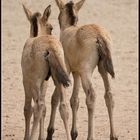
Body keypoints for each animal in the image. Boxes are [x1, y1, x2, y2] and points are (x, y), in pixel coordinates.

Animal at [21, 4, 70, 140]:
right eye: (51, 27)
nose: (51, 31)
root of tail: (50, 47)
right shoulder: (45, 82)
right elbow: (44, 109)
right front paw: (41, 136)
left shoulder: (27, 81)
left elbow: (28, 109)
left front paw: (28, 136)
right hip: (59, 81)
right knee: (63, 106)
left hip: (35, 82)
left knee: (37, 107)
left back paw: (31, 137)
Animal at [46, 0, 117, 140]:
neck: (69, 28)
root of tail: (99, 35)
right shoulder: (76, 73)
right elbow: (74, 100)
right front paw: (74, 134)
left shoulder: (66, 71)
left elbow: (55, 98)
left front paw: (50, 132)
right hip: (102, 69)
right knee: (109, 95)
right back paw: (113, 135)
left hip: (86, 72)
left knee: (91, 96)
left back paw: (91, 136)